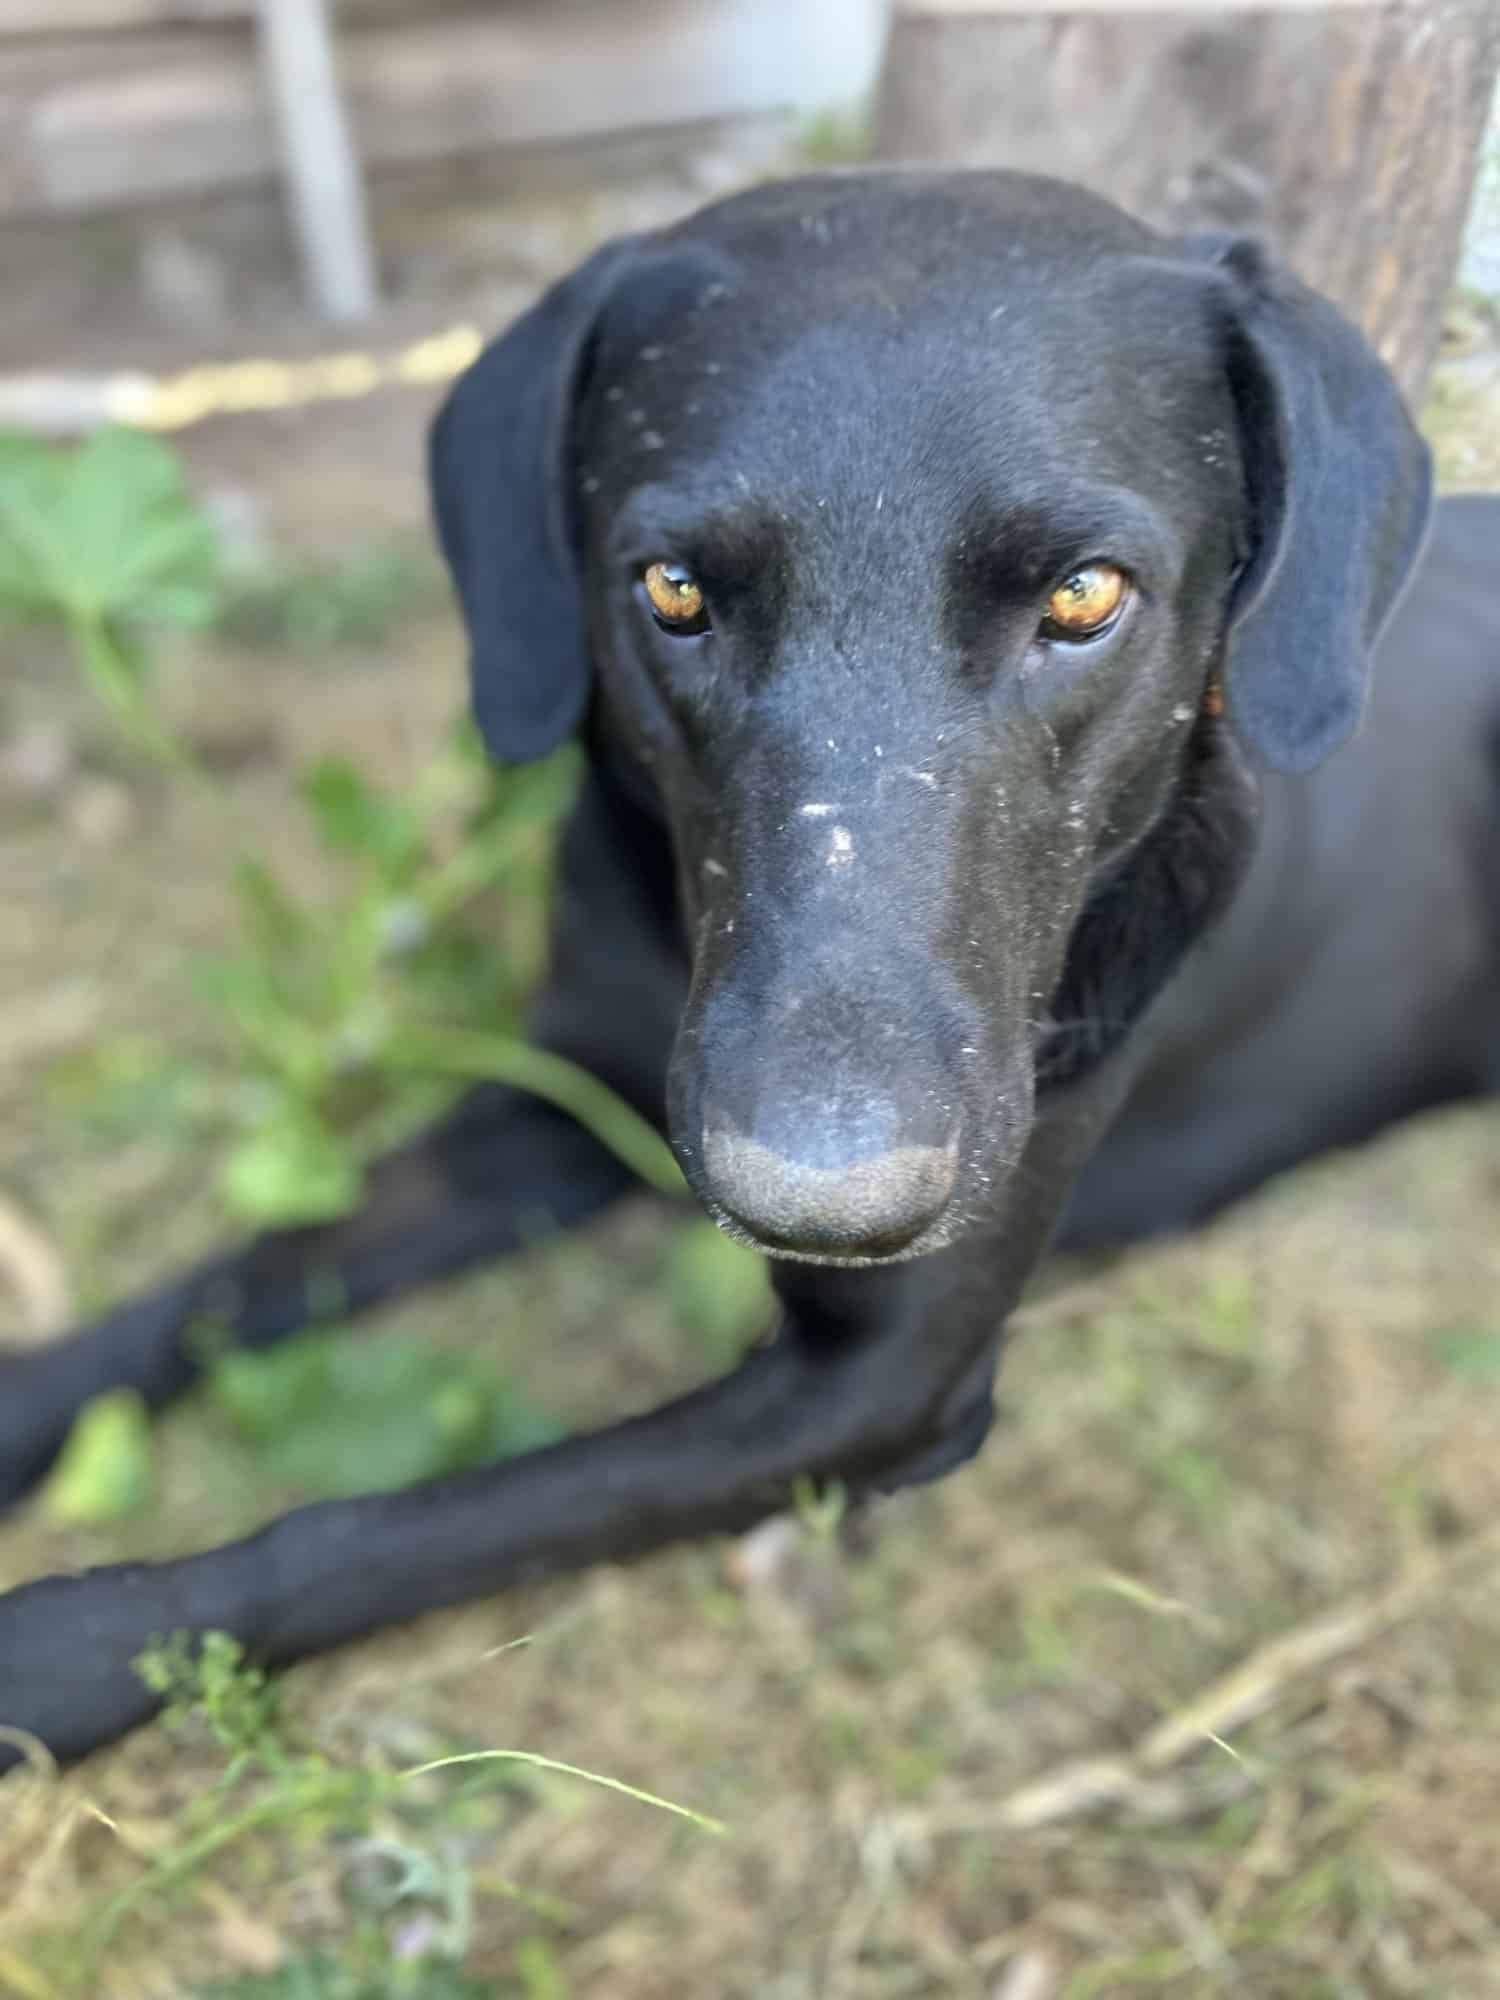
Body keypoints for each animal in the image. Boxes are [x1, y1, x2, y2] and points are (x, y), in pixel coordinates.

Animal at [2, 172, 1500, 1768]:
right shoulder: (555, 1104)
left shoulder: (873, 1393)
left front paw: (65, 1647)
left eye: (1087, 596)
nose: (821, 1204)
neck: (677, 944)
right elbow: (244, 1277)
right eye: (670, 589)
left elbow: (401, 1526)